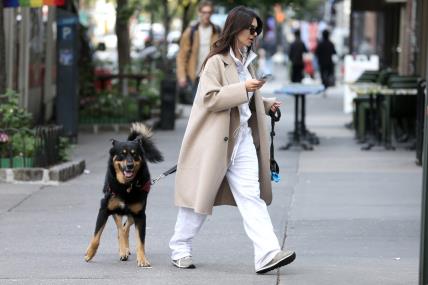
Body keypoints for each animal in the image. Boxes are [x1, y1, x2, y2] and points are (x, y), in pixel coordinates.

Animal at [84, 122, 163, 266]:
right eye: (122, 154)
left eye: (134, 154)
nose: (130, 165)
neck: (126, 186)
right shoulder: (104, 209)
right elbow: (96, 236)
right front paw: (89, 254)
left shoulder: (140, 214)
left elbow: (140, 241)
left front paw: (142, 259)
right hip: (116, 210)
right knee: (120, 229)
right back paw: (122, 250)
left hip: (132, 213)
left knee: (125, 229)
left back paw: (125, 250)